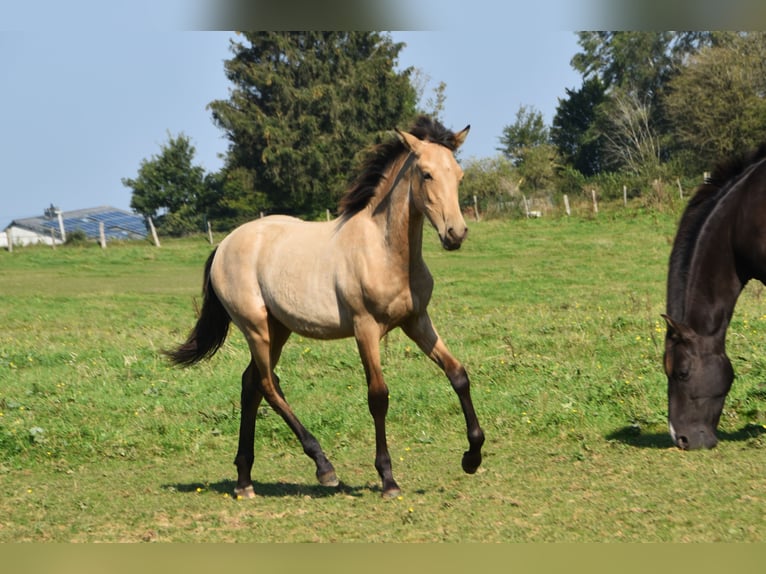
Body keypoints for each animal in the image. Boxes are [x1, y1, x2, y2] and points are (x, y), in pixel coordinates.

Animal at [166, 117, 486, 500]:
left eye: (459, 174)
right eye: (426, 174)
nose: (456, 233)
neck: (384, 251)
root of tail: (225, 244)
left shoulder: (416, 321)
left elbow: (458, 375)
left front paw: (472, 457)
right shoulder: (365, 329)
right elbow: (378, 396)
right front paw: (388, 479)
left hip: (279, 329)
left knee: (250, 385)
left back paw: (245, 480)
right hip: (256, 327)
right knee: (268, 384)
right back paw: (323, 466)